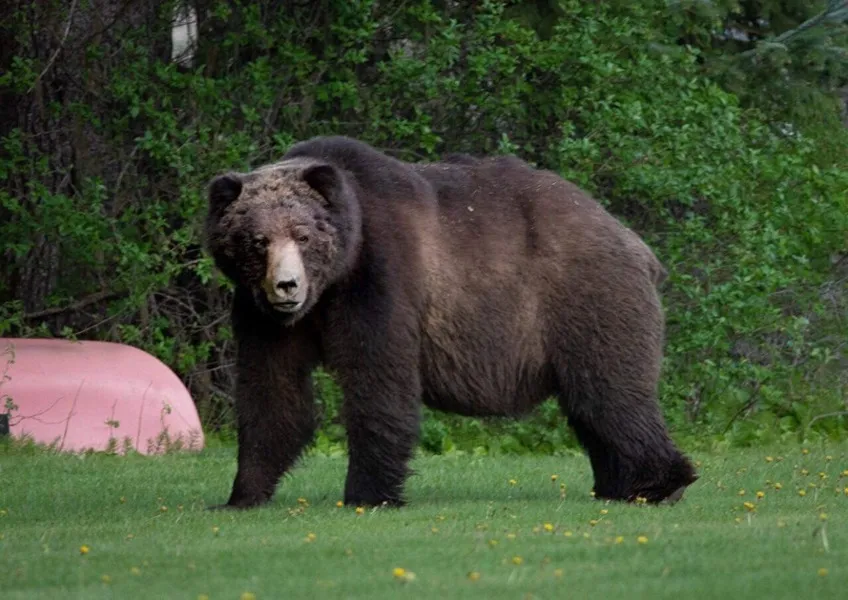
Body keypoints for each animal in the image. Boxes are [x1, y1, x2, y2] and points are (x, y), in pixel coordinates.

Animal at [203, 135, 698, 510]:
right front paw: (240, 495)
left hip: (587, 297)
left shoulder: (381, 278)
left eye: (303, 235)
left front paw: (369, 494)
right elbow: (273, 393)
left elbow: (378, 381)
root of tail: (635, 242)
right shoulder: (265, 318)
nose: (286, 286)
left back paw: (659, 484)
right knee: (590, 405)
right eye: (257, 240)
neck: (331, 282)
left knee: (609, 392)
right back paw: (617, 485)